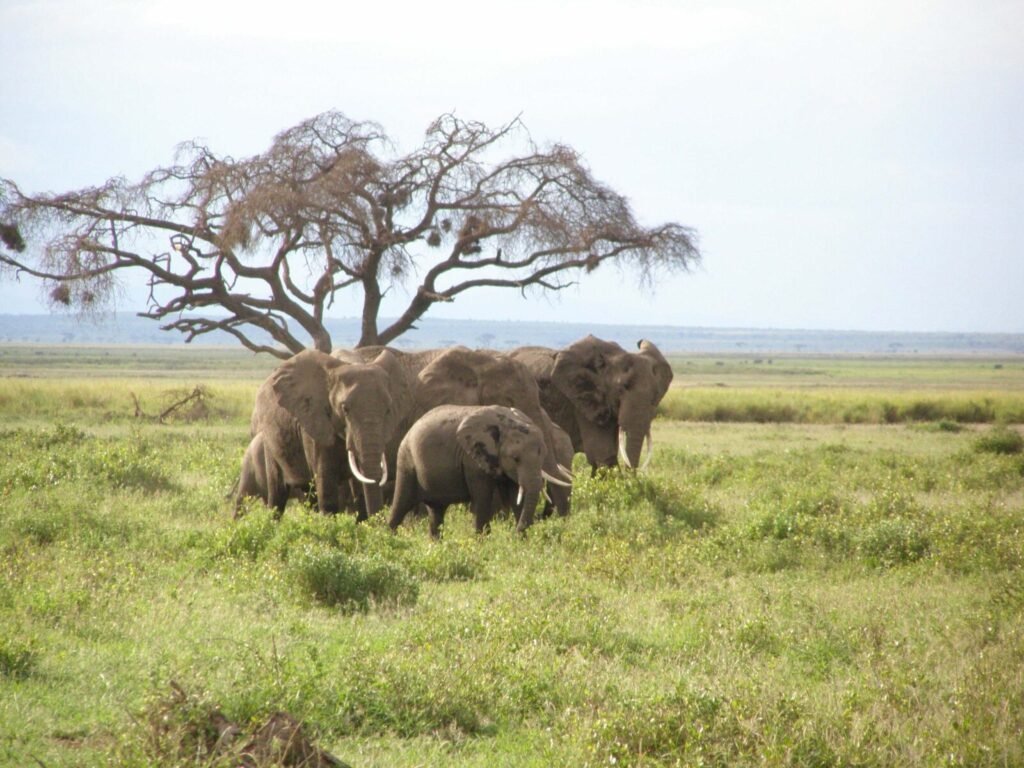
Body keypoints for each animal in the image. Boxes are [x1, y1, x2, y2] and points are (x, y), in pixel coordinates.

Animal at [248, 347, 413, 519]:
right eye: (345, 408)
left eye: (388, 410)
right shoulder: (314, 421)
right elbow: (326, 487)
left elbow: (359, 491)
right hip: (267, 438)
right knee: (277, 494)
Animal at [388, 405, 569, 538]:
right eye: (516, 458)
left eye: (543, 453)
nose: (515, 535)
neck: (505, 424)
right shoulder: (472, 460)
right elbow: (482, 497)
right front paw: (481, 541)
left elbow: (516, 495)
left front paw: (523, 541)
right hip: (406, 460)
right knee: (401, 505)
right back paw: (389, 539)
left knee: (436, 512)